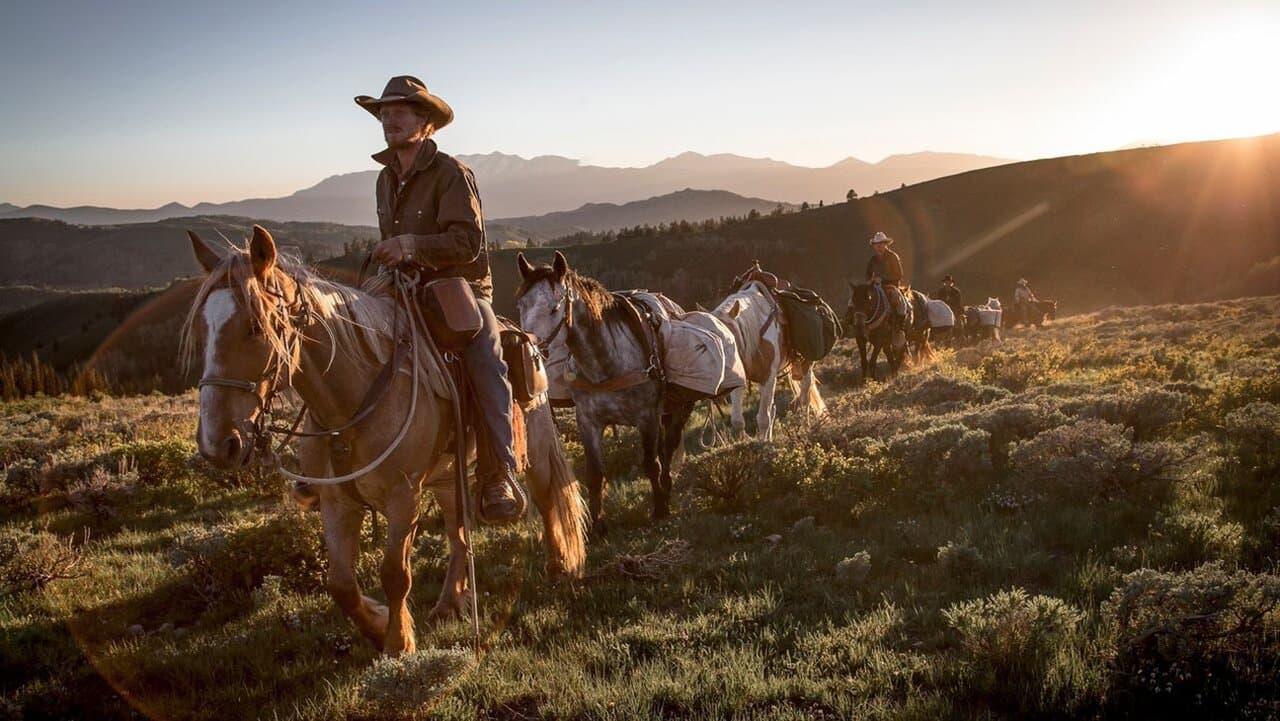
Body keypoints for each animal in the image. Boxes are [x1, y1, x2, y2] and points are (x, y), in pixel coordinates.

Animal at [184, 226, 586, 656]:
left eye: (255, 328)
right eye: (203, 331)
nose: (216, 444)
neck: (353, 401)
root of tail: (528, 340)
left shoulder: (403, 495)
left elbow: (395, 572)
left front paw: (398, 643)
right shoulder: (337, 500)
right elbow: (341, 584)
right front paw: (377, 626)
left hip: (535, 448)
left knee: (545, 497)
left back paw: (558, 565)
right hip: (448, 477)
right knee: (459, 534)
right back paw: (449, 602)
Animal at [515, 251, 697, 535]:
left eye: (555, 308)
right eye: (521, 305)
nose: (529, 350)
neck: (605, 363)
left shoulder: (647, 418)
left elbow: (651, 463)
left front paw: (659, 509)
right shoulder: (589, 422)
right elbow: (595, 473)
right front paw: (598, 524)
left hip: (679, 410)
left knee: (668, 448)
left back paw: (666, 491)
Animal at [709, 280, 825, 441]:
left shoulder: (769, 377)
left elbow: (764, 418)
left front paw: (763, 443)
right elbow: (738, 420)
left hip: (805, 367)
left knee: (804, 398)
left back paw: (805, 425)